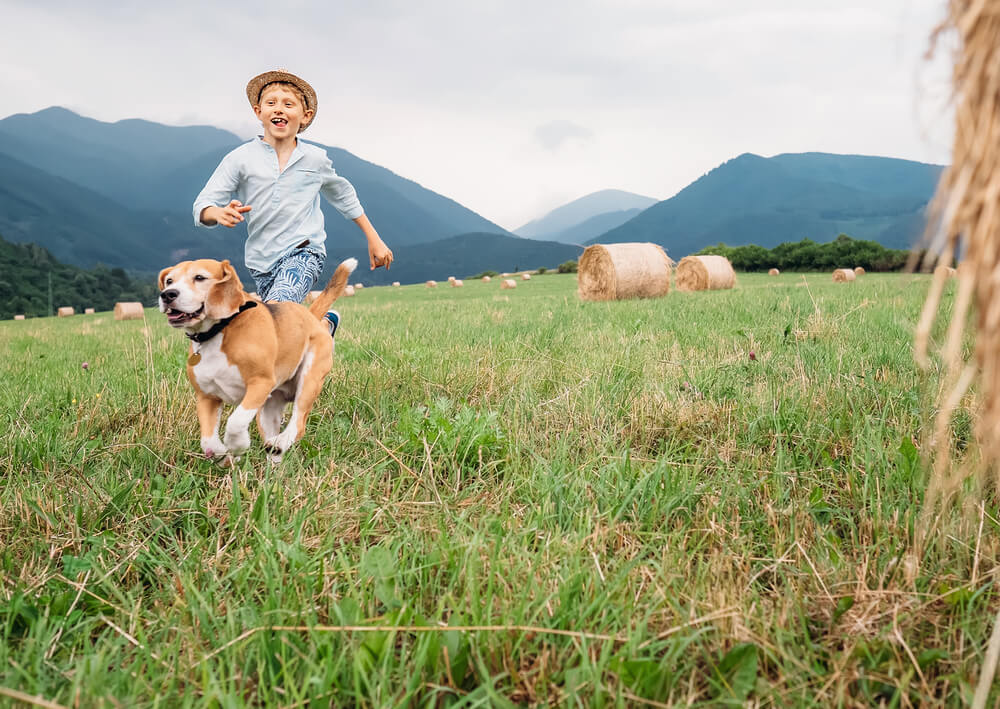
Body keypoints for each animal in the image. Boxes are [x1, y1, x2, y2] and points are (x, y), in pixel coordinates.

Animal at [157, 258, 356, 462]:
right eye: (169, 281)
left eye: (199, 277)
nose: (167, 294)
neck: (219, 331)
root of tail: (311, 318)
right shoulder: (206, 396)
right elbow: (207, 441)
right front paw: (222, 455)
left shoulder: (260, 383)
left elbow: (235, 422)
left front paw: (238, 445)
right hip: (269, 409)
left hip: (309, 381)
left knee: (298, 425)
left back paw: (280, 442)